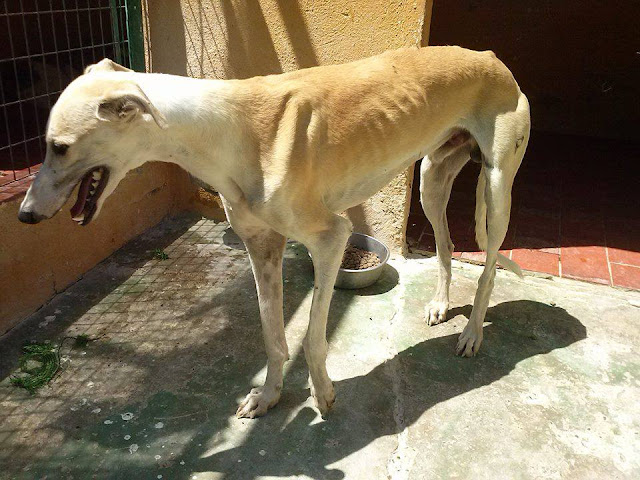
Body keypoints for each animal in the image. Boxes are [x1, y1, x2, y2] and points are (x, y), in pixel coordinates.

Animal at [18, 46, 530, 418]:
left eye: (59, 146)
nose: (24, 216)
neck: (227, 129)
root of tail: (489, 56)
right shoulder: (261, 247)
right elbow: (273, 335)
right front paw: (268, 398)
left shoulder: (332, 238)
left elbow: (312, 337)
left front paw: (322, 394)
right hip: (430, 180)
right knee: (445, 245)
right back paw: (442, 305)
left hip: (497, 187)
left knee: (488, 268)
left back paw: (472, 334)